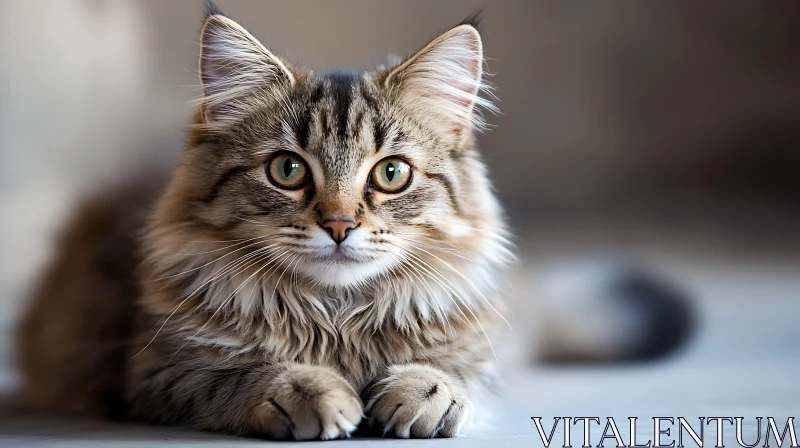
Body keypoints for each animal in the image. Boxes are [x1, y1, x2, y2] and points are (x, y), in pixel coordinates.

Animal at [17, 0, 512, 440]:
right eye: (287, 170)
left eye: (391, 174)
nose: (339, 226)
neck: (336, 318)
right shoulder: (152, 370)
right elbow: (238, 374)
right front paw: (306, 390)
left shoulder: (479, 350)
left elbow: (461, 371)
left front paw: (425, 391)